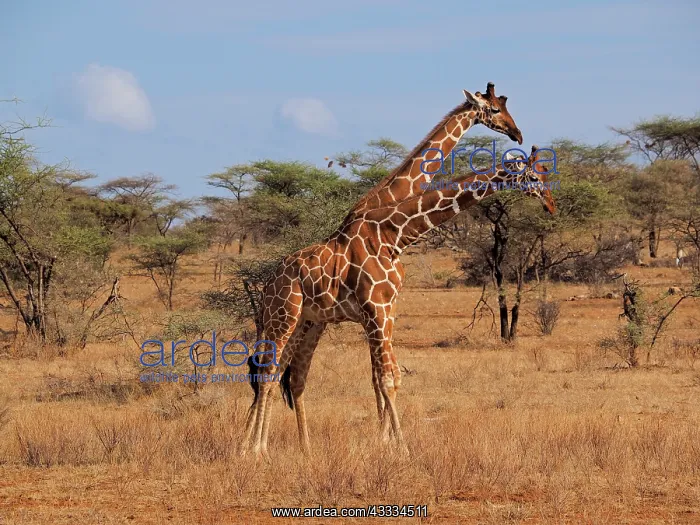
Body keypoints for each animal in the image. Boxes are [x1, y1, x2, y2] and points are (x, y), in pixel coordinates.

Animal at [239, 83, 531, 457]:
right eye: (494, 110)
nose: (517, 133)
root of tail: (268, 285)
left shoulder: (381, 310)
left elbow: (380, 376)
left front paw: (385, 440)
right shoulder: (374, 309)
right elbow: (382, 377)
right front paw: (393, 444)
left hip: (307, 322)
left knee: (285, 375)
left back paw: (282, 446)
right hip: (286, 319)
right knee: (270, 372)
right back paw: (254, 449)